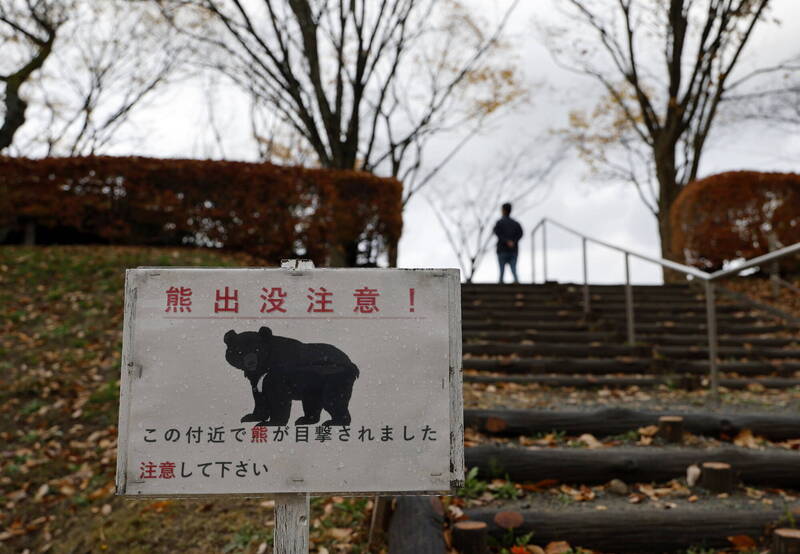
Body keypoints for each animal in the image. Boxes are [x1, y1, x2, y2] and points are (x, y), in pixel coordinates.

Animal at [223, 326, 359, 427]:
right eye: (239, 351)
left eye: (257, 349)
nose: (251, 363)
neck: (265, 366)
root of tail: (351, 364)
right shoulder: (257, 379)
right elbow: (260, 396)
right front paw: (250, 417)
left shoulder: (279, 374)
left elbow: (279, 398)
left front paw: (271, 423)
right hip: (314, 385)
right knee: (313, 401)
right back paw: (305, 420)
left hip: (334, 379)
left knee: (333, 399)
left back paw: (334, 422)